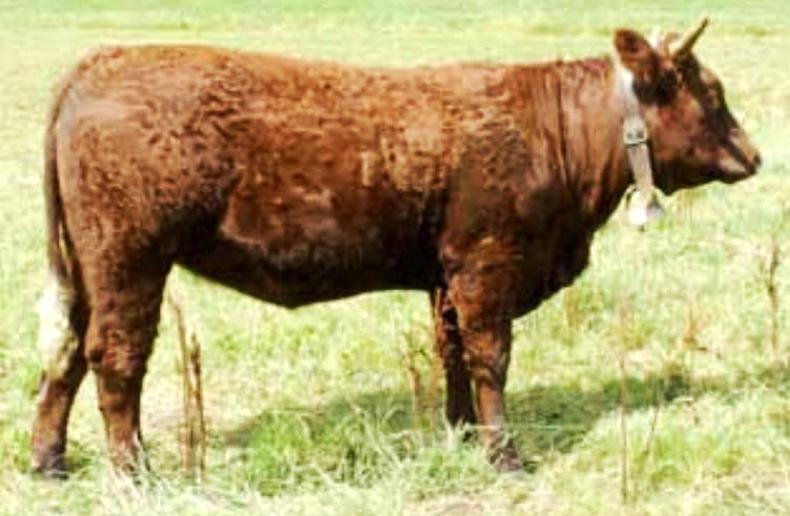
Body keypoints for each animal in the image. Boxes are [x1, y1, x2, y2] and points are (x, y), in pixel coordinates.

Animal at [32, 19, 760, 476]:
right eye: (712, 93)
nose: (753, 155)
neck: (552, 131)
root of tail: (102, 61)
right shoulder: (488, 267)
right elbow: (491, 359)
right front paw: (504, 455)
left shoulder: (447, 278)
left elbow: (454, 356)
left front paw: (460, 432)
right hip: (130, 261)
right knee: (115, 359)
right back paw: (134, 470)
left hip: (90, 270)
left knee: (65, 354)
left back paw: (50, 460)